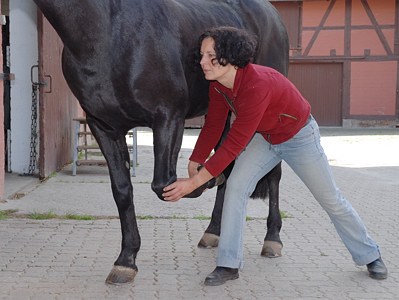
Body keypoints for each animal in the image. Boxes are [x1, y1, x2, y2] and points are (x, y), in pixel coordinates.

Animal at [33, 0, 288, 284]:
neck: (107, 33)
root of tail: (272, 14)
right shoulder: (104, 127)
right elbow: (122, 191)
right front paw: (126, 260)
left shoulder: (168, 117)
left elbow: (164, 184)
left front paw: (203, 180)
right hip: (221, 109)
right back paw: (213, 231)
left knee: (274, 173)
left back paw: (272, 239)